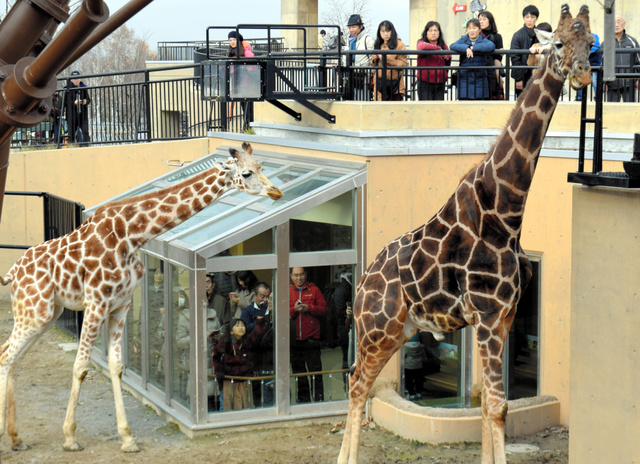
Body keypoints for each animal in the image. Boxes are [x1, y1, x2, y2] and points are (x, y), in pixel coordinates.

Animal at [0, 141, 282, 454]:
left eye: (261, 167)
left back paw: (16, 437)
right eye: (246, 173)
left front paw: (127, 438)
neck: (132, 235)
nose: (276, 192)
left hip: (48, 314)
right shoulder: (96, 303)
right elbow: (81, 366)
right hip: (35, 312)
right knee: (7, 356)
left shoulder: (120, 305)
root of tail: (13, 272)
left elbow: (117, 366)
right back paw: (9, 436)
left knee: (12, 357)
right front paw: (71, 437)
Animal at [340, 4, 596, 464]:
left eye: (590, 42)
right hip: (376, 328)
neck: (506, 211)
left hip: (399, 330)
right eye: (559, 43)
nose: (583, 75)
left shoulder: (504, 315)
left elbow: (490, 408)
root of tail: (362, 281)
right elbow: (496, 405)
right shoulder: (488, 314)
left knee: (360, 387)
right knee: (355, 387)